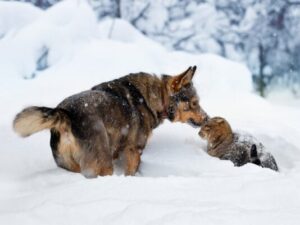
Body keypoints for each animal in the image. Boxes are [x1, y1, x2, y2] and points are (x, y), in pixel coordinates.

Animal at [12, 66, 207, 177]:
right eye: (194, 103)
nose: (207, 118)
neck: (154, 97)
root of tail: (66, 113)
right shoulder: (134, 150)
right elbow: (131, 173)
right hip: (103, 164)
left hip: (72, 166)